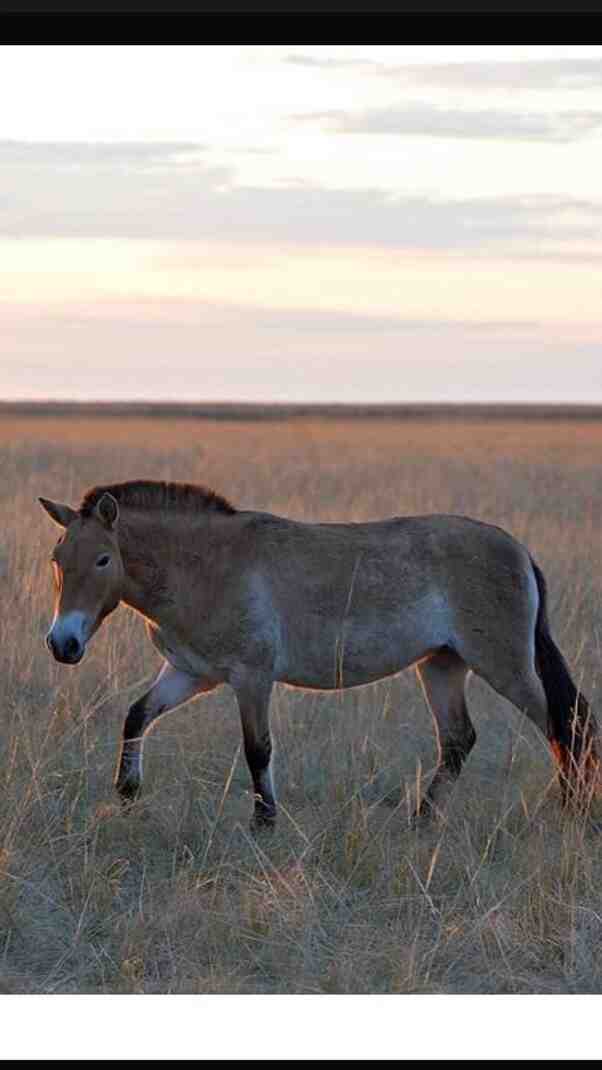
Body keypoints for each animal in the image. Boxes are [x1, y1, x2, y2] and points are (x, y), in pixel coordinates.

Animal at [39, 480, 599, 829]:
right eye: (57, 559)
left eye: (103, 559)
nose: (62, 644)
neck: (205, 567)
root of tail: (517, 550)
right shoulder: (189, 673)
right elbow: (136, 716)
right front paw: (127, 791)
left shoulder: (251, 678)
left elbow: (257, 748)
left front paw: (264, 821)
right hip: (442, 663)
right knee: (459, 740)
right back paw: (421, 819)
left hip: (503, 664)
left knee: (563, 725)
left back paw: (571, 810)